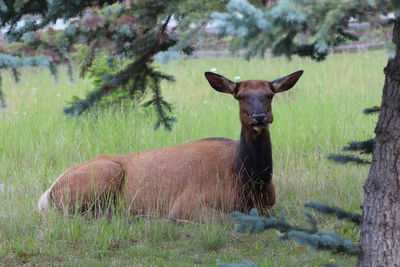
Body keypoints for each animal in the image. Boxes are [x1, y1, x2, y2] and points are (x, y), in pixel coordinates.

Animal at [38, 70, 304, 221]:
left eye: (270, 94)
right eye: (239, 97)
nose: (259, 117)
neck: (248, 181)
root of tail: (47, 192)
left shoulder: (270, 204)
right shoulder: (187, 202)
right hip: (104, 175)